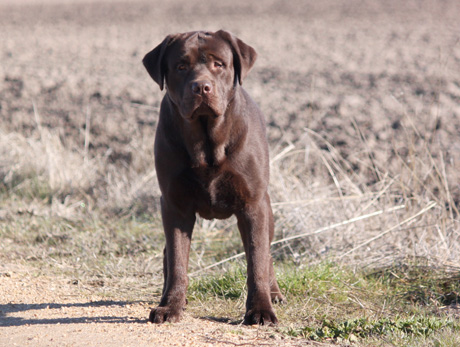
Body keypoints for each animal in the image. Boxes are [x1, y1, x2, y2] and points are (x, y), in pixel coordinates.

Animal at [142, 29, 284, 326]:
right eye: (181, 66)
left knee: (266, 253)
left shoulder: (253, 204)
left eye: (219, 64)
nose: (201, 87)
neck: (207, 142)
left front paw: (260, 310)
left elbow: (257, 259)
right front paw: (170, 306)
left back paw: (275, 293)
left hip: (267, 208)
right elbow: (177, 260)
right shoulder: (174, 204)